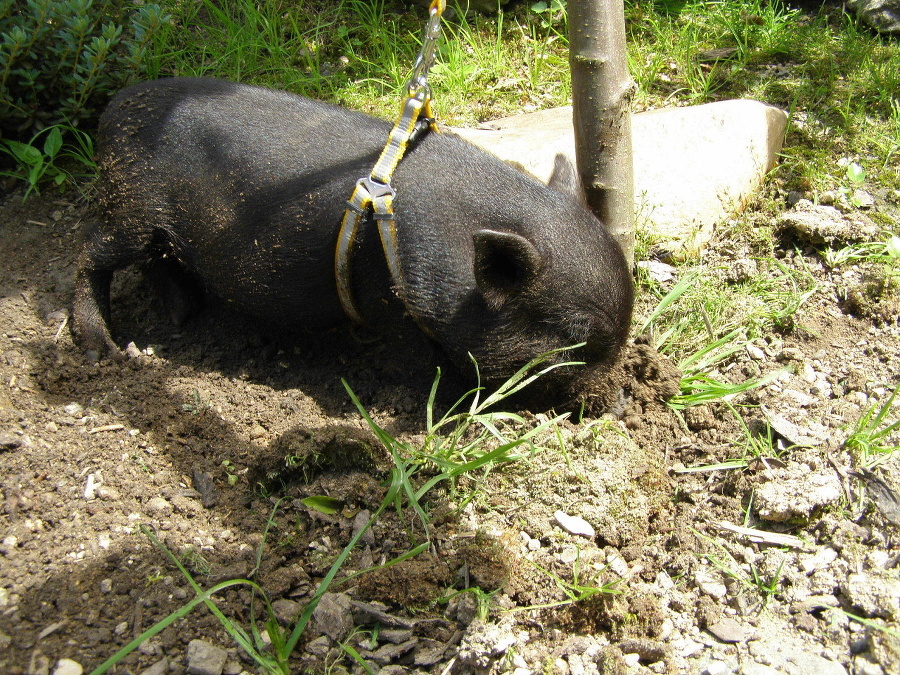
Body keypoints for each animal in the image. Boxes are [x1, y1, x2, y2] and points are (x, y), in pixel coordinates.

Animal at [72, 78, 632, 406]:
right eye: (574, 339)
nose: (616, 395)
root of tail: (111, 108)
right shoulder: (395, 304)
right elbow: (417, 360)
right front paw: (446, 405)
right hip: (131, 208)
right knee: (89, 254)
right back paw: (106, 351)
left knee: (153, 260)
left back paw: (184, 314)